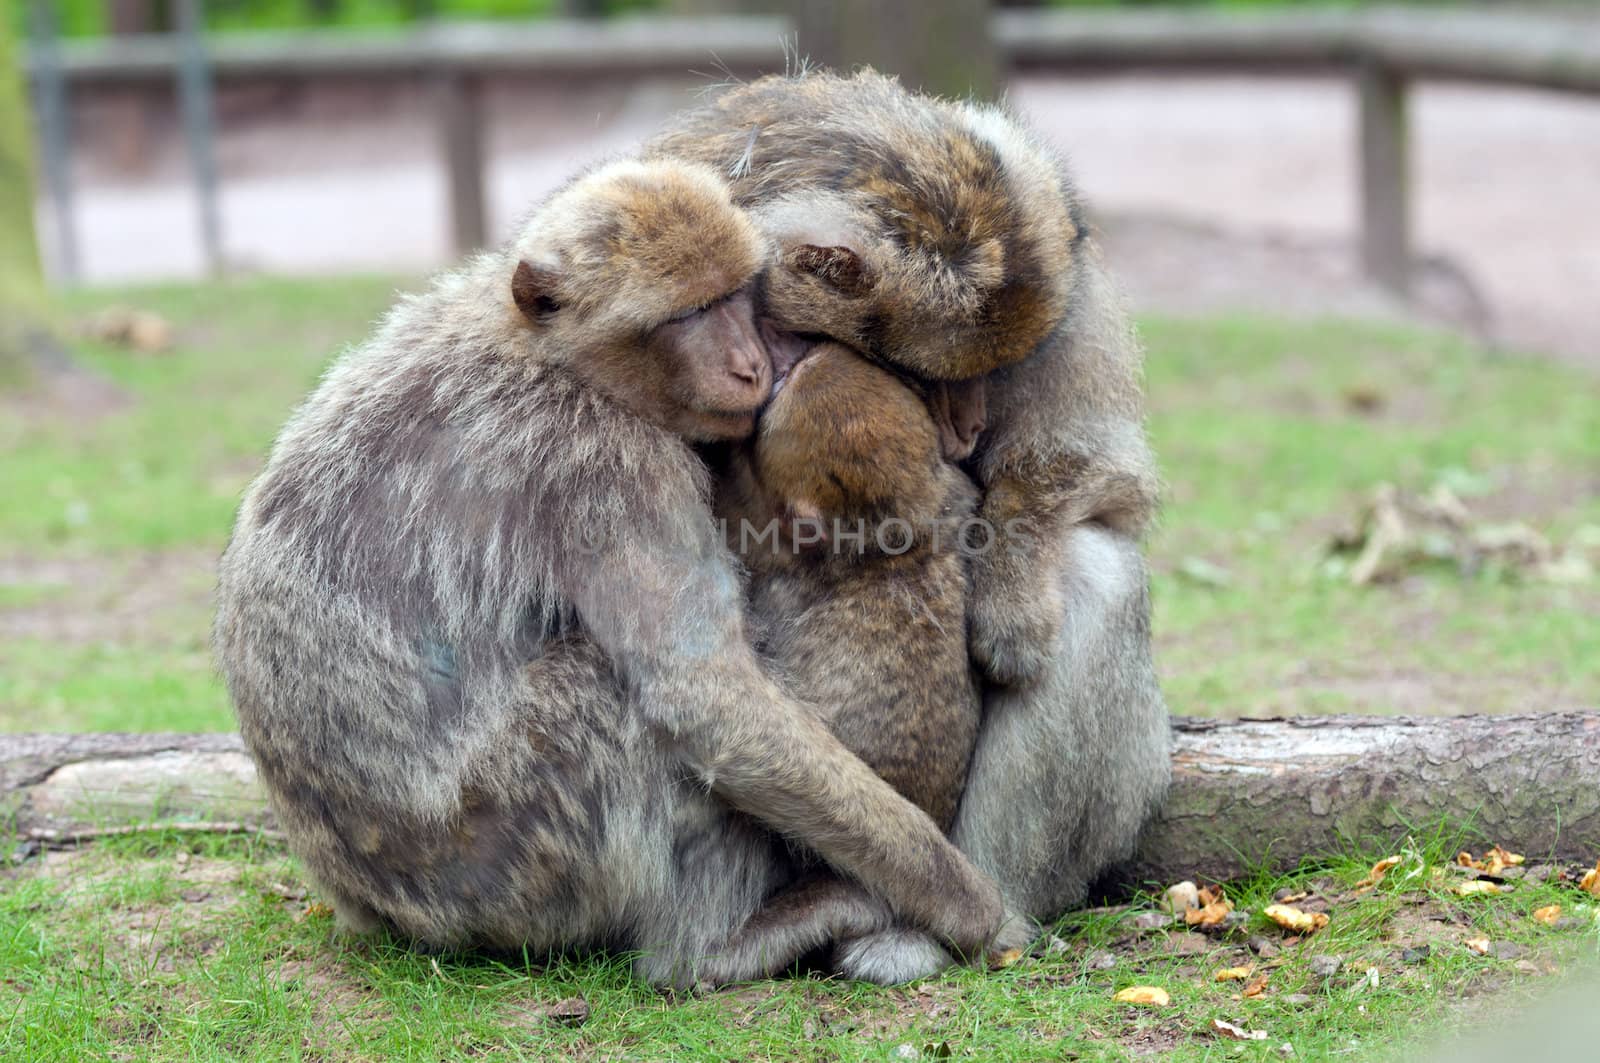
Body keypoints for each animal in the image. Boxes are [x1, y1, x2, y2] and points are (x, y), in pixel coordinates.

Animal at [217, 157, 1004, 986]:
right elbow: (699, 692)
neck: (550, 354)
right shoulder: (610, 460)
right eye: (689, 314)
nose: (749, 365)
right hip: (508, 867)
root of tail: (372, 905)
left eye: (734, 296)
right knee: (604, 688)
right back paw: (706, 948)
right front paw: (964, 898)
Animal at [649, 70, 1177, 928]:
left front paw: (1010, 597)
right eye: (922, 373)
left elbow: (1100, 472)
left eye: (994, 369)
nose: (968, 425)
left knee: (1099, 568)